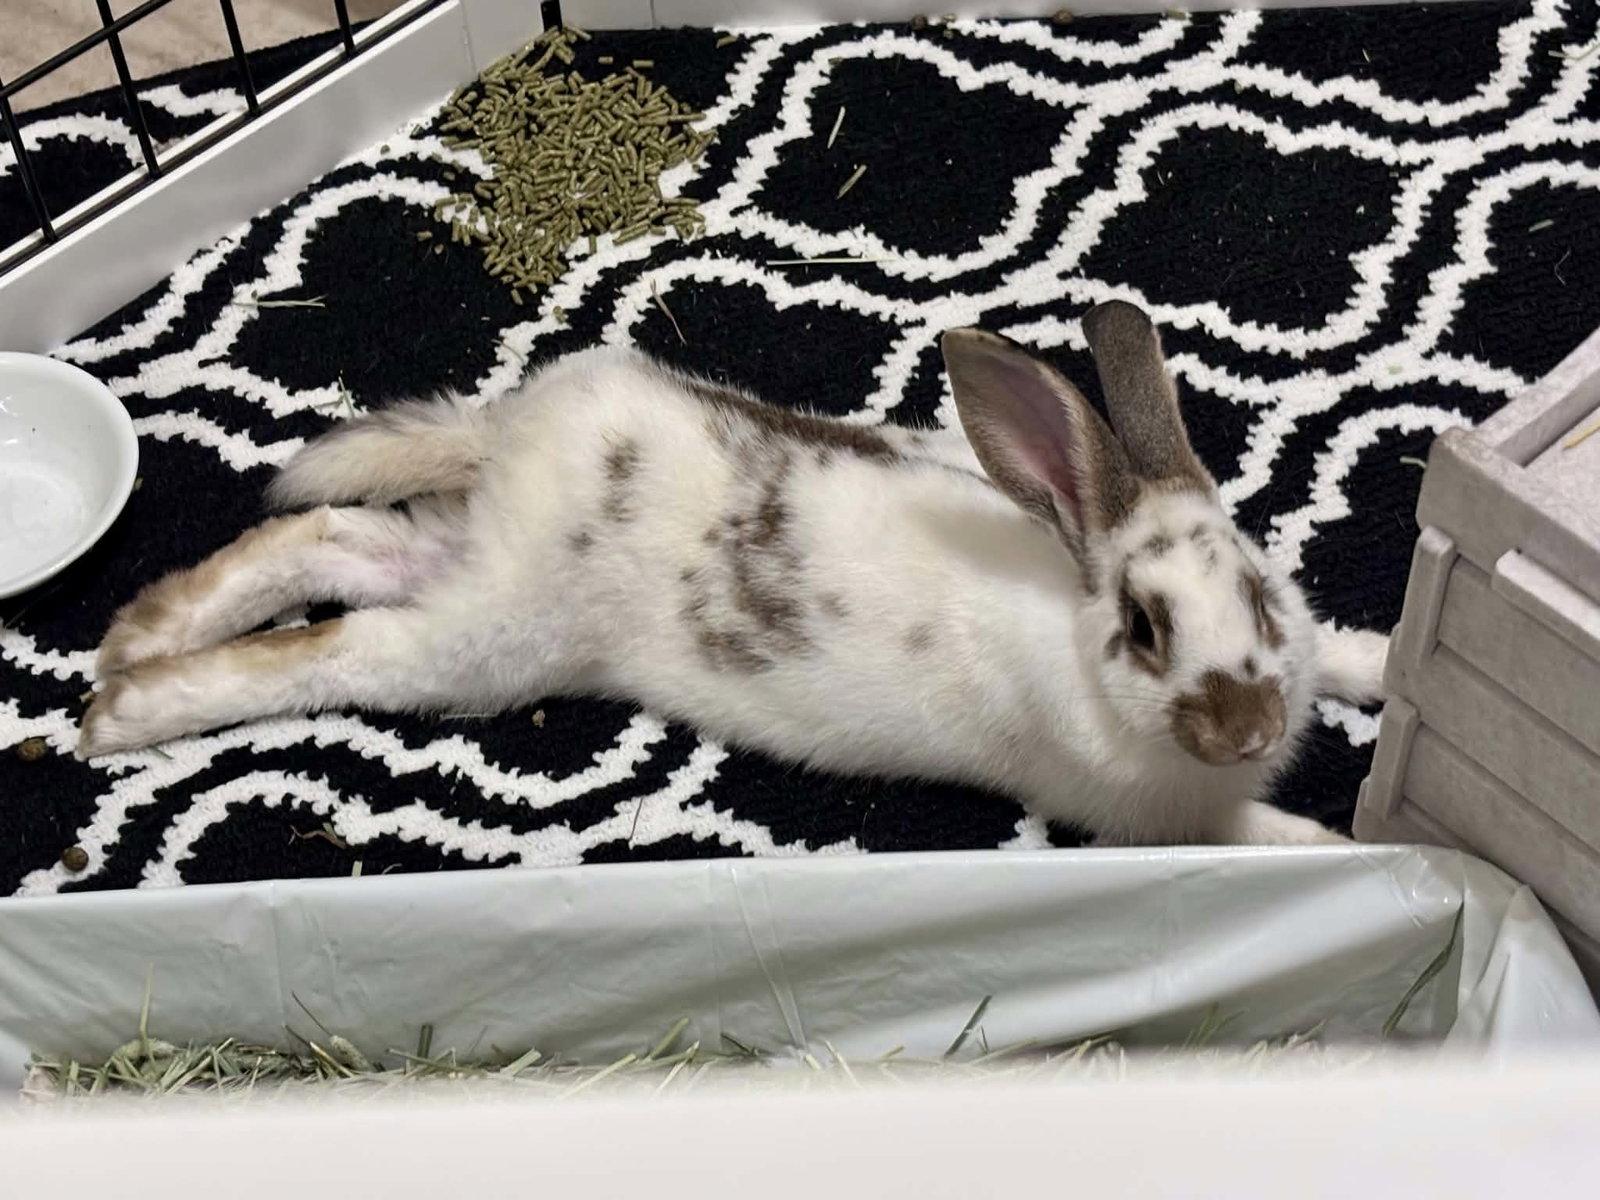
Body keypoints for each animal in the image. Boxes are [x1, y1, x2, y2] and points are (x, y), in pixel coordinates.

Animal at [78, 300, 1389, 846]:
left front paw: (1375, 673)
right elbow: (1281, 844)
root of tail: (517, 439)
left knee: (331, 538)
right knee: (331, 644)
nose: (1243, 729)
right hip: (484, 646)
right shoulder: (1153, 819)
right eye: (1143, 628)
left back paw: (135, 630)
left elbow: (1354, 659)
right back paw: (124, 709)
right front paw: (1360, 854)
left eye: (1259, 592)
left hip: (472, 573)